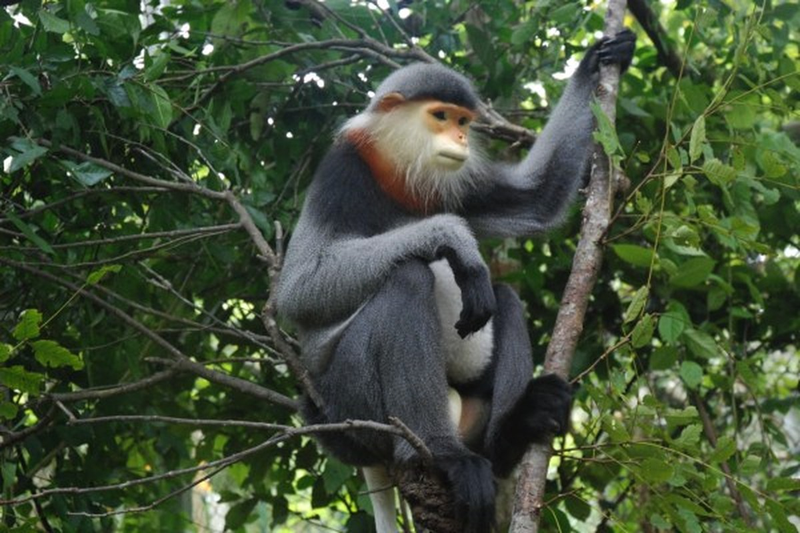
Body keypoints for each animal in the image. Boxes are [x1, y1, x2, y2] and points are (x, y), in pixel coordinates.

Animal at [276, 30, 636, 532]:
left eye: (464, 120)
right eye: (440, 116)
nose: (461, 136)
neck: (398, 169)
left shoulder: (459, 182)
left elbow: (537, 200)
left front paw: (602, 56)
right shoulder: (343, 171)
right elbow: (298, 290)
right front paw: (452, 239)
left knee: (502, 297)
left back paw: (511, 434)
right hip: (353, 401)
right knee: (407, 279)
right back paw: (443, 455)